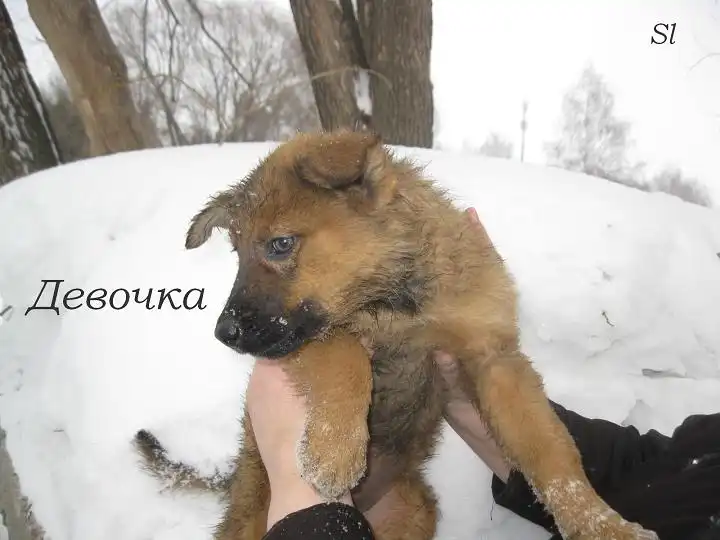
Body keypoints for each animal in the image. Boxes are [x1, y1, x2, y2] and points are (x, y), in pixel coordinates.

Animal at [134, 129, 658, 540]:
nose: (224, 334)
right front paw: (333, 452)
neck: (394, 303)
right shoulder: (307, 338)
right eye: (237, 253)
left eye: (280, 244)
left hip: (414, 509)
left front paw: (602, 525)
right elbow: (346, 355)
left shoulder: (494, 359)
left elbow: (552, 452)